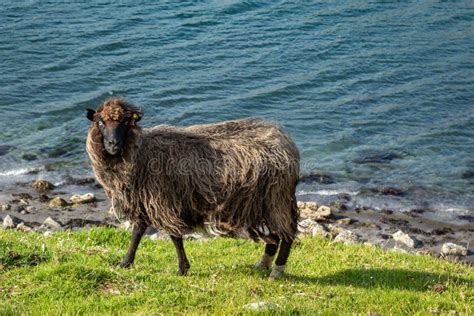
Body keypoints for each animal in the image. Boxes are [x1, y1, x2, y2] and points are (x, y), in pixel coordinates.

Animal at [85, 97, 300, 278]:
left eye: (125, 123)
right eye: (100, 122)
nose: (113, 144)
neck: (141, 152)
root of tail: (287, 141)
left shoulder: (163, 201)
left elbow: (174, 236)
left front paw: (182, 269)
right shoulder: (146, 200)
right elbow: (137, 232)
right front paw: (125, 262)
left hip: (276, 197)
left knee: (287, 235)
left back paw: (276, 271)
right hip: (261, 202)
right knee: (275, 236)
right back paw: (263, 265)